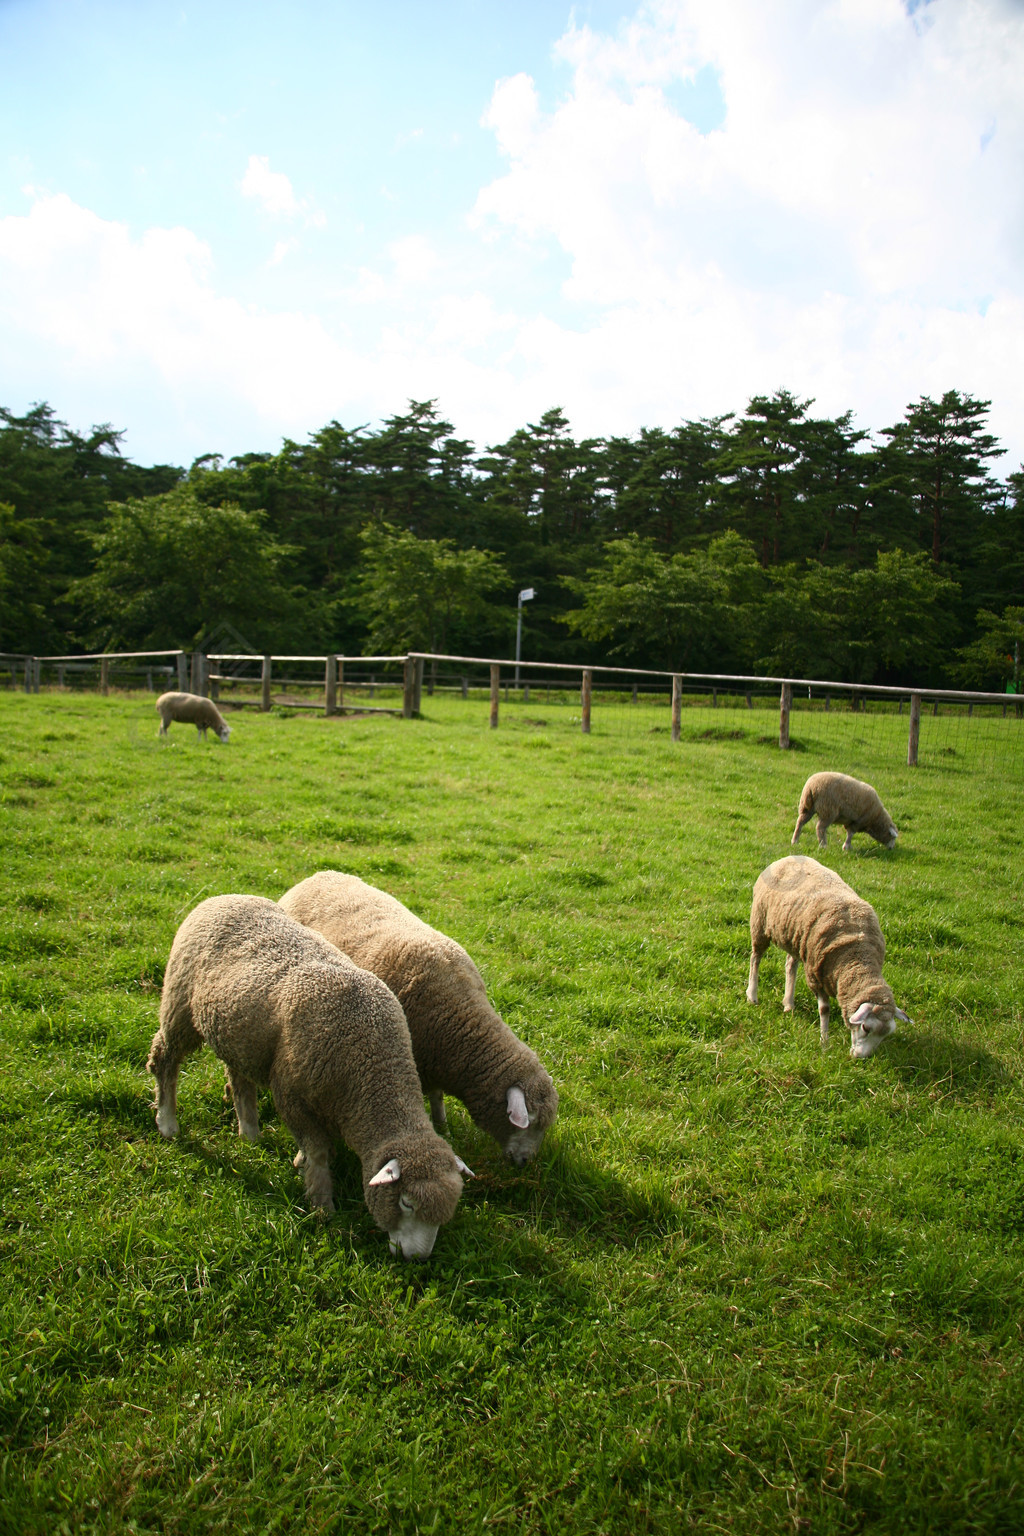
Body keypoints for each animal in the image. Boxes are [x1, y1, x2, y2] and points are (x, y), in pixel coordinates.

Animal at [145, 897, 472, 1253]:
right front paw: (321, 1205)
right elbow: (317, 1153)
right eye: (406, 1203)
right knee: (164, 1060)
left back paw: (249, 1133)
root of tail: (221, 898)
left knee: (239, 1080)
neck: (370, 1064)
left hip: (238, 1032)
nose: (419, 1259)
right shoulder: (290, 1095)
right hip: (179, 1004)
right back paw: (167, 1123)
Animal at [277, 872, 561, 1167]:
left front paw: (443, 1126)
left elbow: (436, 1097)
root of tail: (319, 875)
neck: (462, 1021)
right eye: (530, 1122)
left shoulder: (434, 1061)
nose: (526, 1162)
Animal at [746, 854, 914, 1056]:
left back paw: (788, 1003)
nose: (860, 1057)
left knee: (790, 965)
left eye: (885, 1035)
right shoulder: (815, 974)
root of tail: (789, 857)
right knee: (755, 959)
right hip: (760, 923)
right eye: (866, 1028)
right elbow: (825, 1009)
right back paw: (752, 995)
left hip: (796, 939)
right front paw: (824, 1042)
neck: (856, 959)